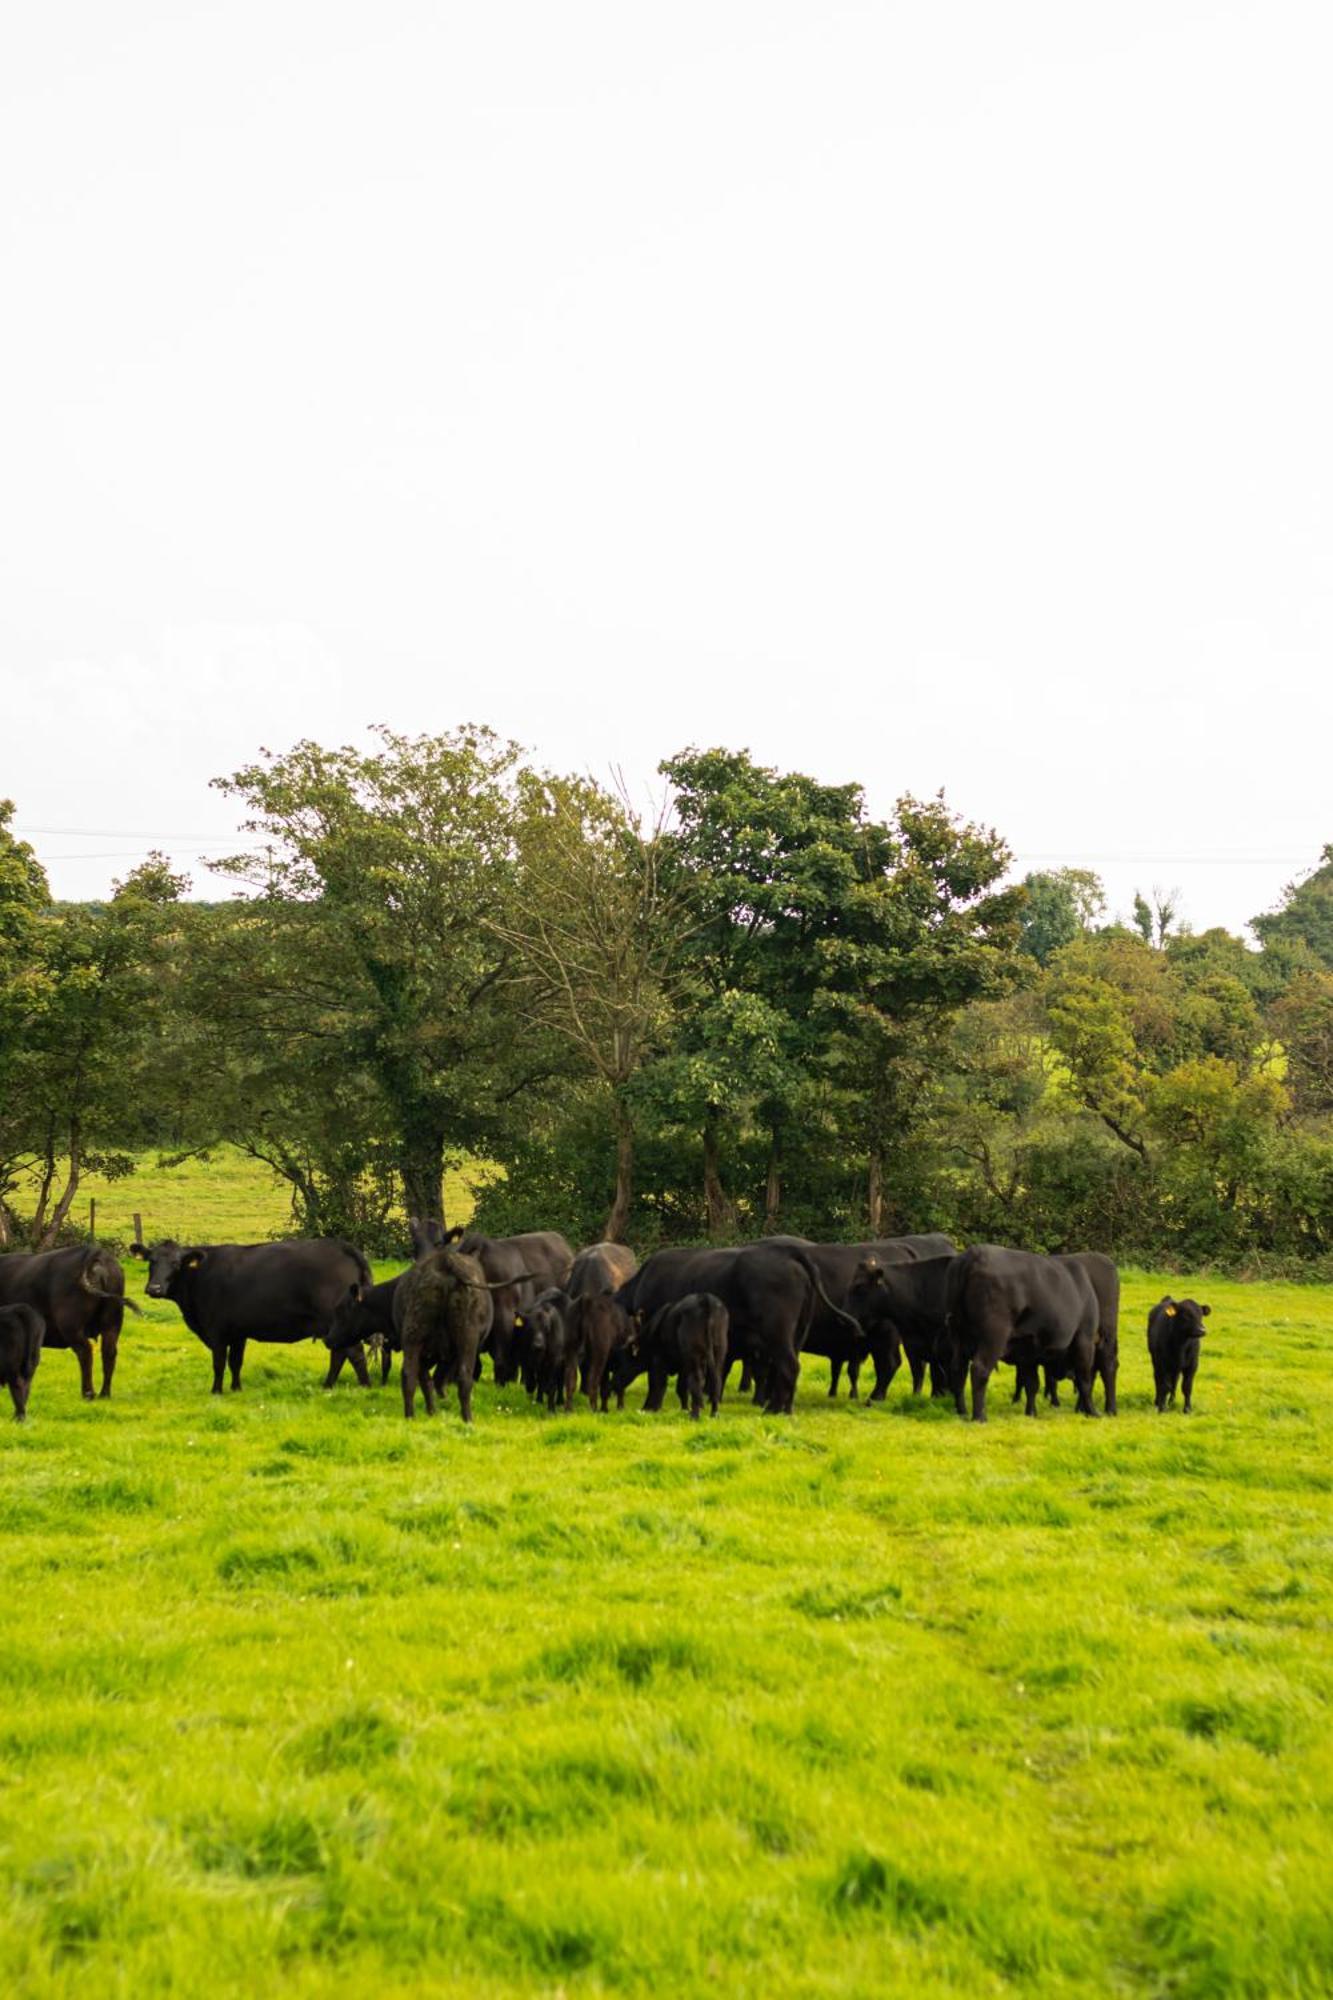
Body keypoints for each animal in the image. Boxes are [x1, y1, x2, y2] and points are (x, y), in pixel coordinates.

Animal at [0, 1240, 140, 1400]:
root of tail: (94, 1253)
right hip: (112, 1323)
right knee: (108, 1352)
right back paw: (104, 1394)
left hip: (71, 1326)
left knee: (85, 1352)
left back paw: (88, 1393)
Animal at [132, 1232, 368, 1392]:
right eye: (151, 1261)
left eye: (176, 1263)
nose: (154, 1288)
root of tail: (343, 1246)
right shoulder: (238, 1332)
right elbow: (235, 1362)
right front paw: (236, 1389)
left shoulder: (216, 1331)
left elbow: (219, 1363)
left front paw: (216, 1391)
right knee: (340, 1354)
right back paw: (328, 1386)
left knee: (354, 1353)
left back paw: (365, 1386)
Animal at [940, 1248, 1096, 1424]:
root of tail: (972, 1255)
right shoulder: (1084, 1339)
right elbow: (1085, 1380)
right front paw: (1092, 1412)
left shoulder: (1028, 1351)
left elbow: (1032, 1383)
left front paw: (1031, 1413)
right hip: (993, 1336)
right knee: (979, 1369)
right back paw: (980, 1417)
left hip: (957, 1335)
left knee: (958, 1370)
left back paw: (962, 1412)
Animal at [1144, 1288, 1200, 1416]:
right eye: (1186, 1315)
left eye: (1201, 1315)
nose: (1202, 1330)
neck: (1182, 1344)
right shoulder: (1163, 1363)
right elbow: (1165, 1385)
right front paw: (1162, 1408)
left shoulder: (1192, 1365)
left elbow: (1187, 1387)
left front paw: (1187, 1409)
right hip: (1156, 1361)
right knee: (1158, 1379)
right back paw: (1158, 1401)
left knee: (1175, 1381)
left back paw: (1171, 1401)